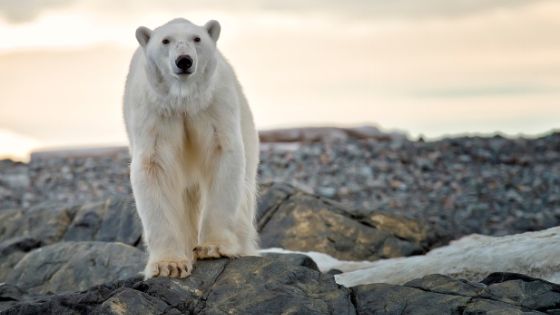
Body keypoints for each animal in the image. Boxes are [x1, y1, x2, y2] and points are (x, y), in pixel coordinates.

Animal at [123, 17, 260, 278]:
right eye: (165, 40)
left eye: (197, 38)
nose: (184, 60)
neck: (183, 101)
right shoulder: (154, 112)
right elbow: (154, 167)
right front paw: (169, 264)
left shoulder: (213, 105)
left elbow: (222, 155)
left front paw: (213, 247)